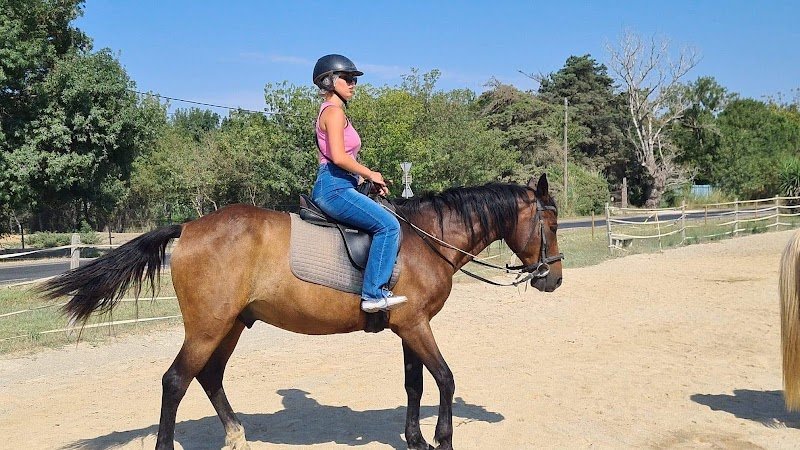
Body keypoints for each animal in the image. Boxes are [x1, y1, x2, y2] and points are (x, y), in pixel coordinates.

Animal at [39, 174, 563, 450]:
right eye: (551, 222)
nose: (553, 279)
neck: (424, 239)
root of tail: (188, 227)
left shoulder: (410, 325)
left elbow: (415, 384)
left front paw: (415, 439)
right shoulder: (415, 326)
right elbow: (446, 379)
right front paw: (443, 439)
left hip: (231, 325)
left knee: (209, 377)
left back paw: (236, 435)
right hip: (208, 326)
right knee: (175, 381)